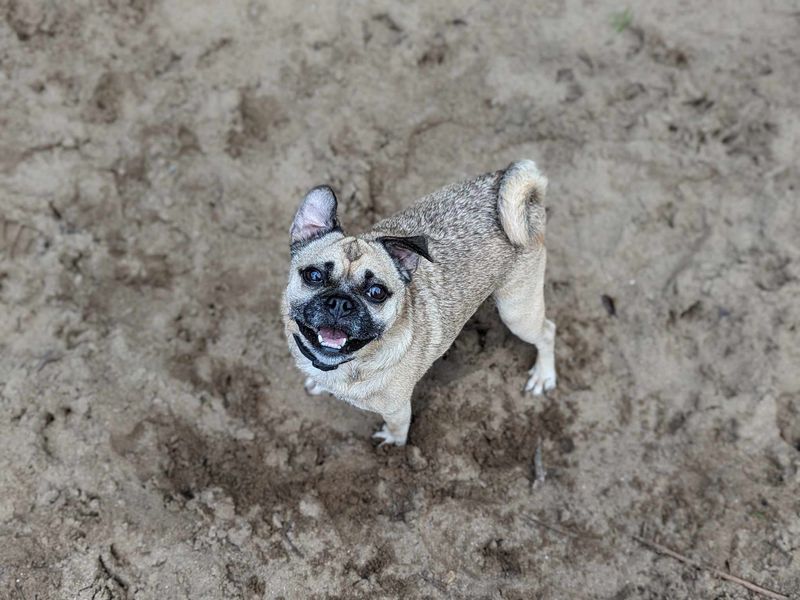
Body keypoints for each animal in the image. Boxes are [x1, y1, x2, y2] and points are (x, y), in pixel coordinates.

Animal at [282, 159, 556, 446]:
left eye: (376, 292)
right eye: (314, 276)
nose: (340, 302)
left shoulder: (397, 409)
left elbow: (398, 428)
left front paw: (393, 443)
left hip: (516, 312)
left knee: (548, 332)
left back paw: (543, 375)